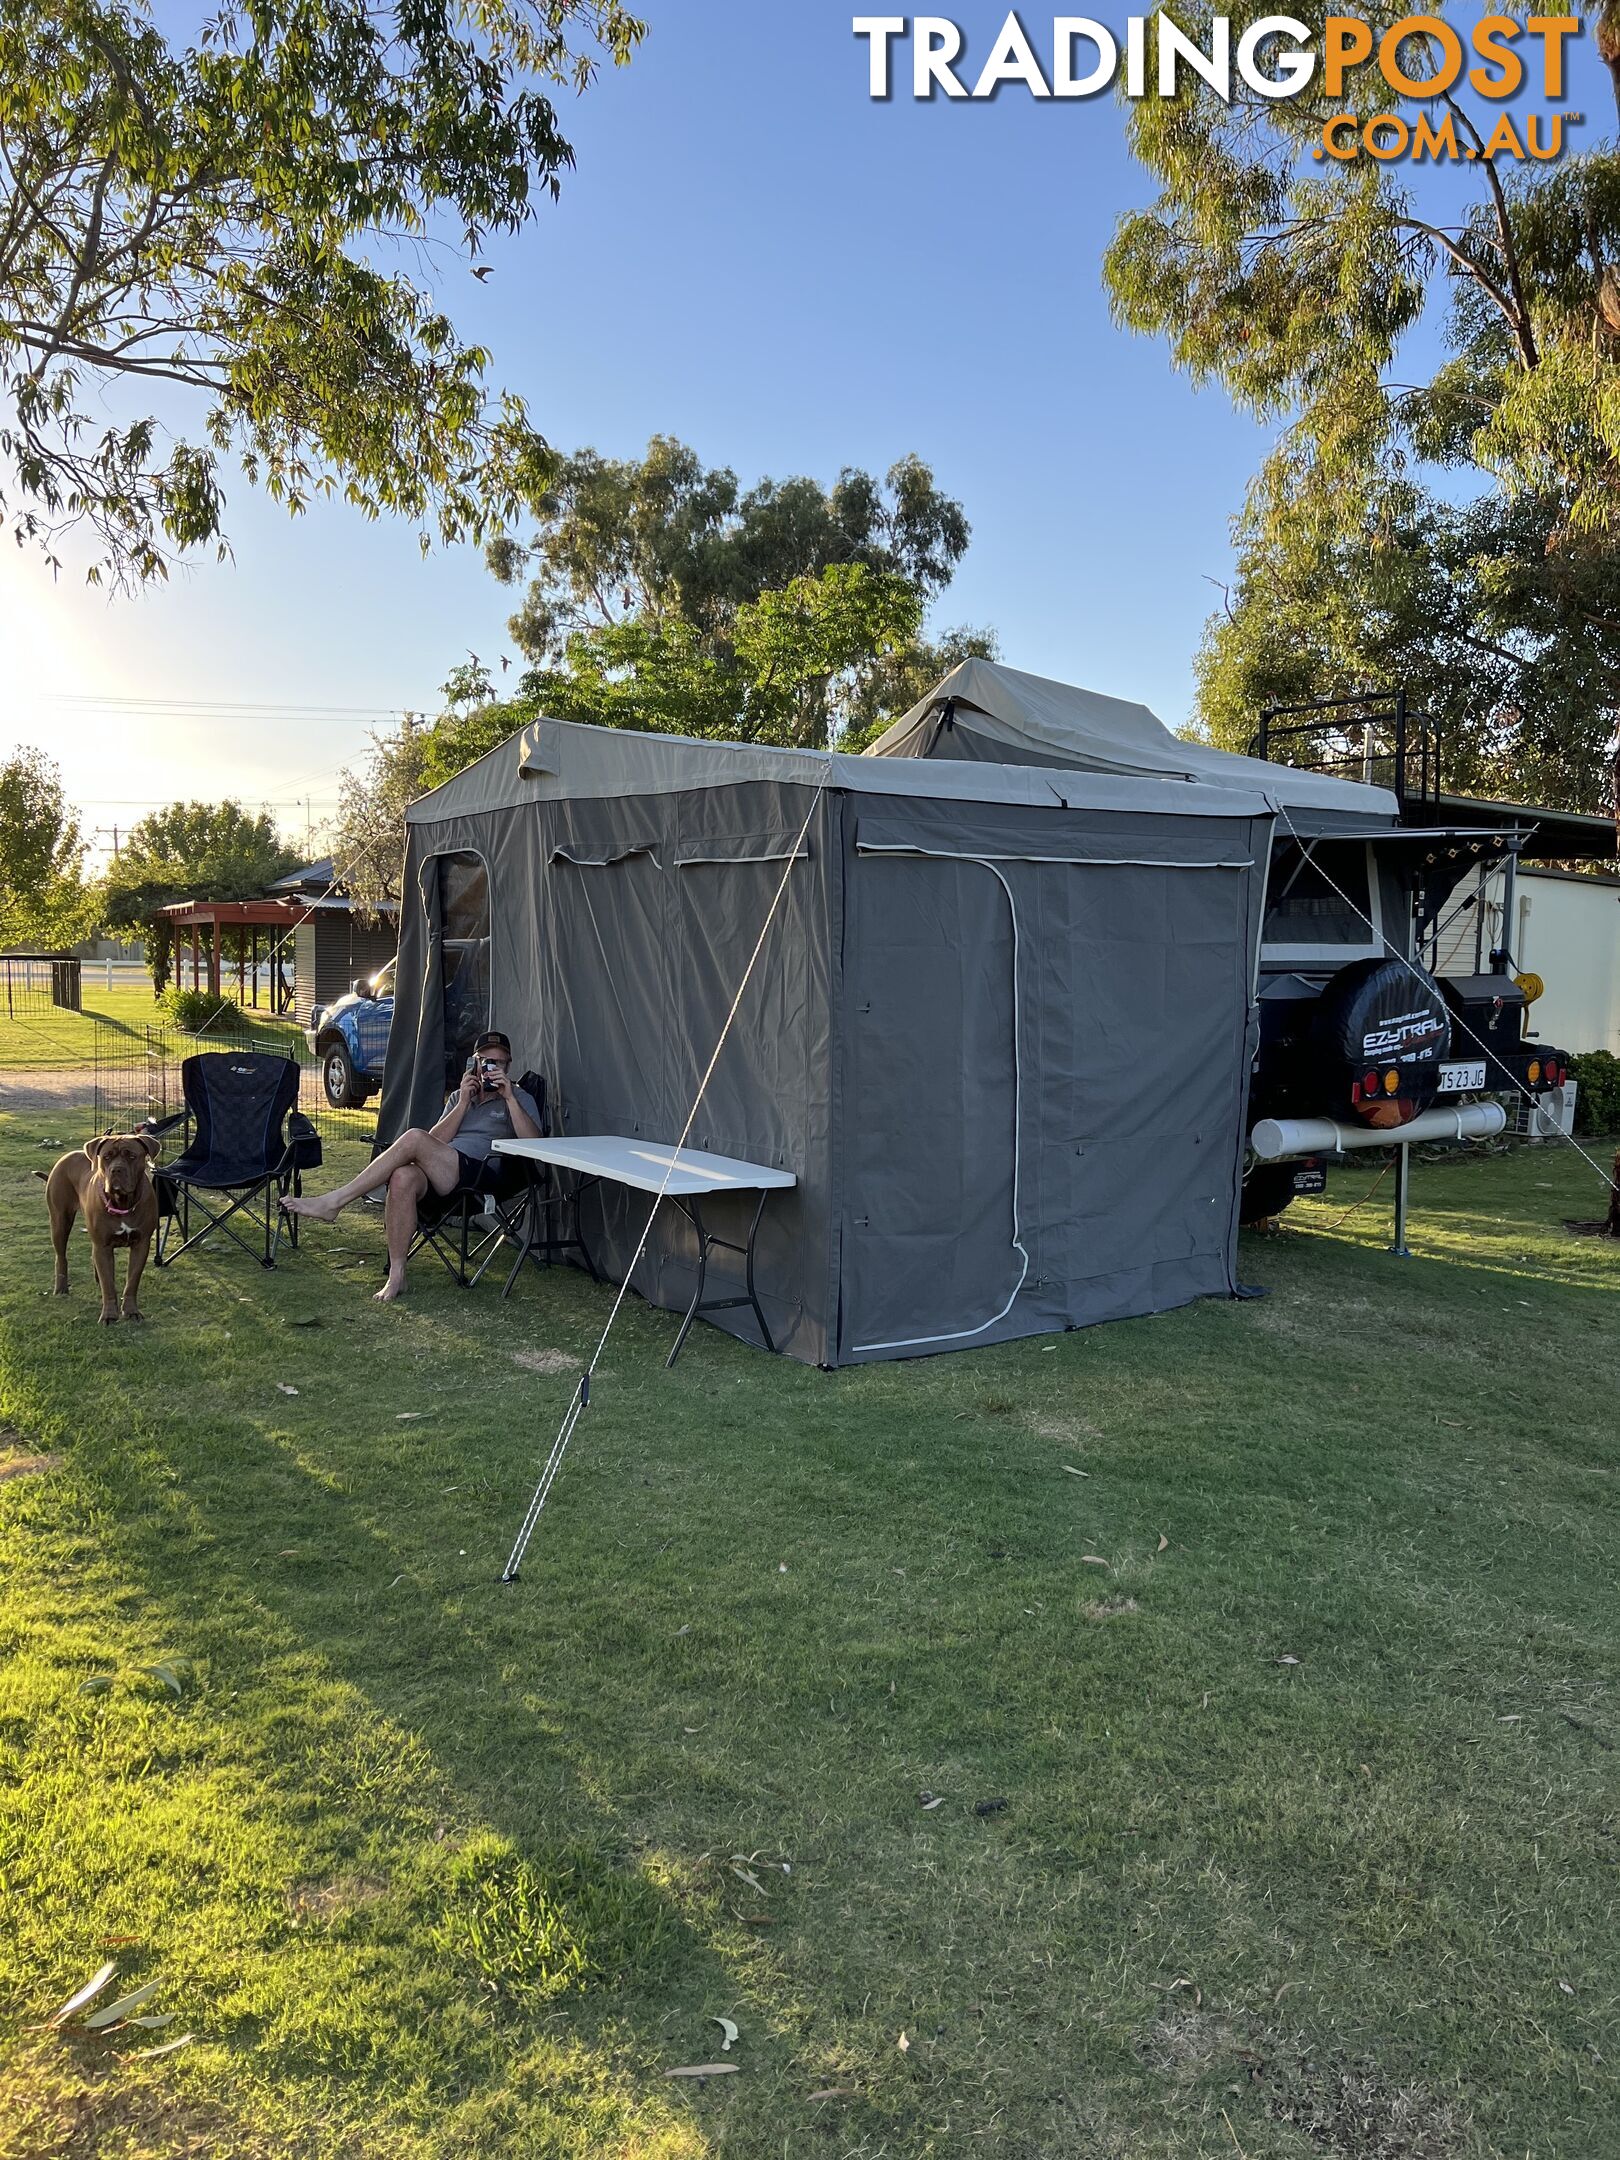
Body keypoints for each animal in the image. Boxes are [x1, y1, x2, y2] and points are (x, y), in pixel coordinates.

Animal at [48, 1131, 163, 1313]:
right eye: (106, 1157)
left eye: (131, 1156)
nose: (116, 1169)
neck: (123, 1203)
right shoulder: (103, 1245)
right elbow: (108, 1285)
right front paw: (109, 1315)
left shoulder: (141, 1244)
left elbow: (132, 1280)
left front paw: (130, 1311)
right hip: (60, 1221)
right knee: (61, 1256)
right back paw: (61, 1288)